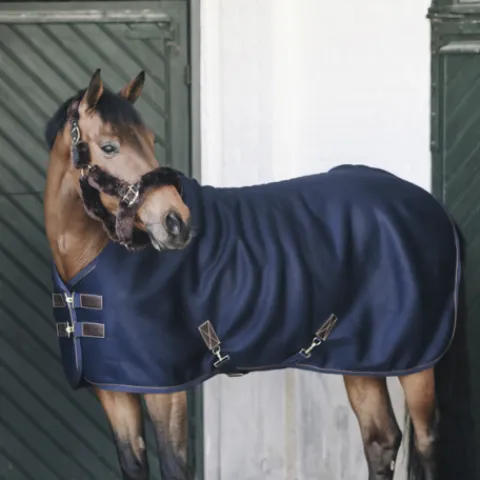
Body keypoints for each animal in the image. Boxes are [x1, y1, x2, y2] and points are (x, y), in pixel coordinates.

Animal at [43, 69, 474, 480]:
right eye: (110, 146)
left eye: (149, 140)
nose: (177, 223)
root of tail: (432, 207)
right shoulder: (115, 389)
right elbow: (133, 465)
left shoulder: (164, 390)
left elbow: (173, 465)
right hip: (362, 360)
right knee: (381, 440)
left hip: (417, 368)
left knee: (427, 442)